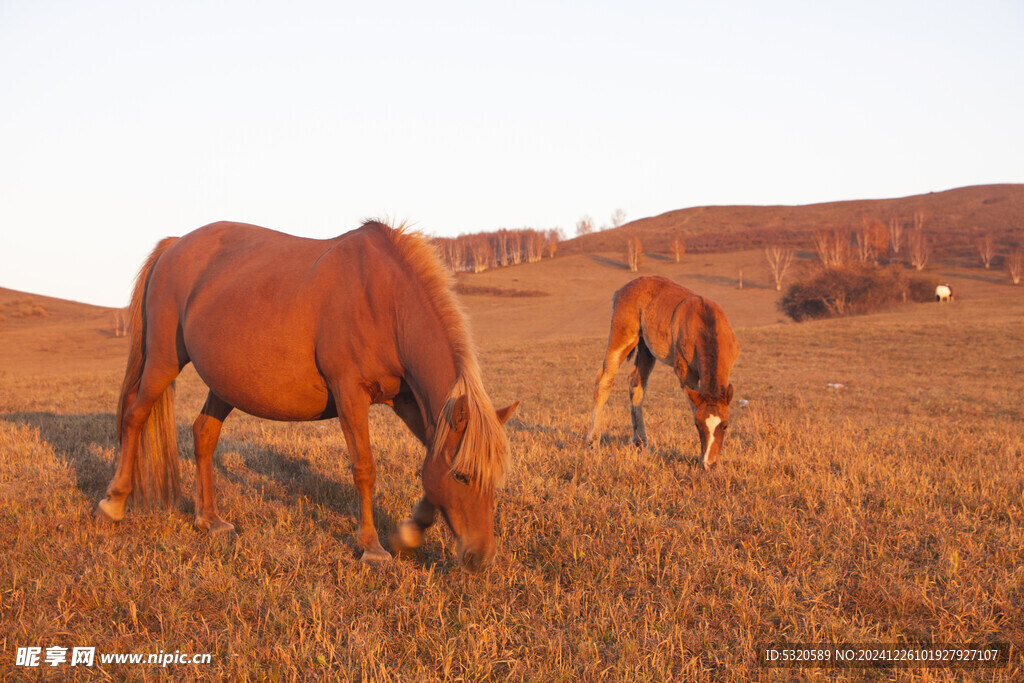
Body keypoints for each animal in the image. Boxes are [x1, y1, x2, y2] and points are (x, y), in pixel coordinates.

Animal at [93, 218, 516, 565]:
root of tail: (174, 246)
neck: (383, 301)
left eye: (494, 479)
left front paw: (408, 535)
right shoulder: (350, 394)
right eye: (462, 477)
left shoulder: (408, 400)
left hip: (225, 384)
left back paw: (209, 520)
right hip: (163, 361)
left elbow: (430, 461)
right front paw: (372, 547)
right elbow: (364, 468)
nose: (480, 558)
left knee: (203, 434)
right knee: (134, 415)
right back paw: (114, 502)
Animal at [589, 274, 741, 466]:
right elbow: (694, 406)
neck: (705, 322)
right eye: (697, 425)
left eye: (725, 425)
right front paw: (701, 460)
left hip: (646, 347)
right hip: (622, 337)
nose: (710, 464)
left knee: (636, 383)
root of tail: (622, 289)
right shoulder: (685, 372)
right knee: (604, 381)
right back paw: (593, 443)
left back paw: (642, 444)